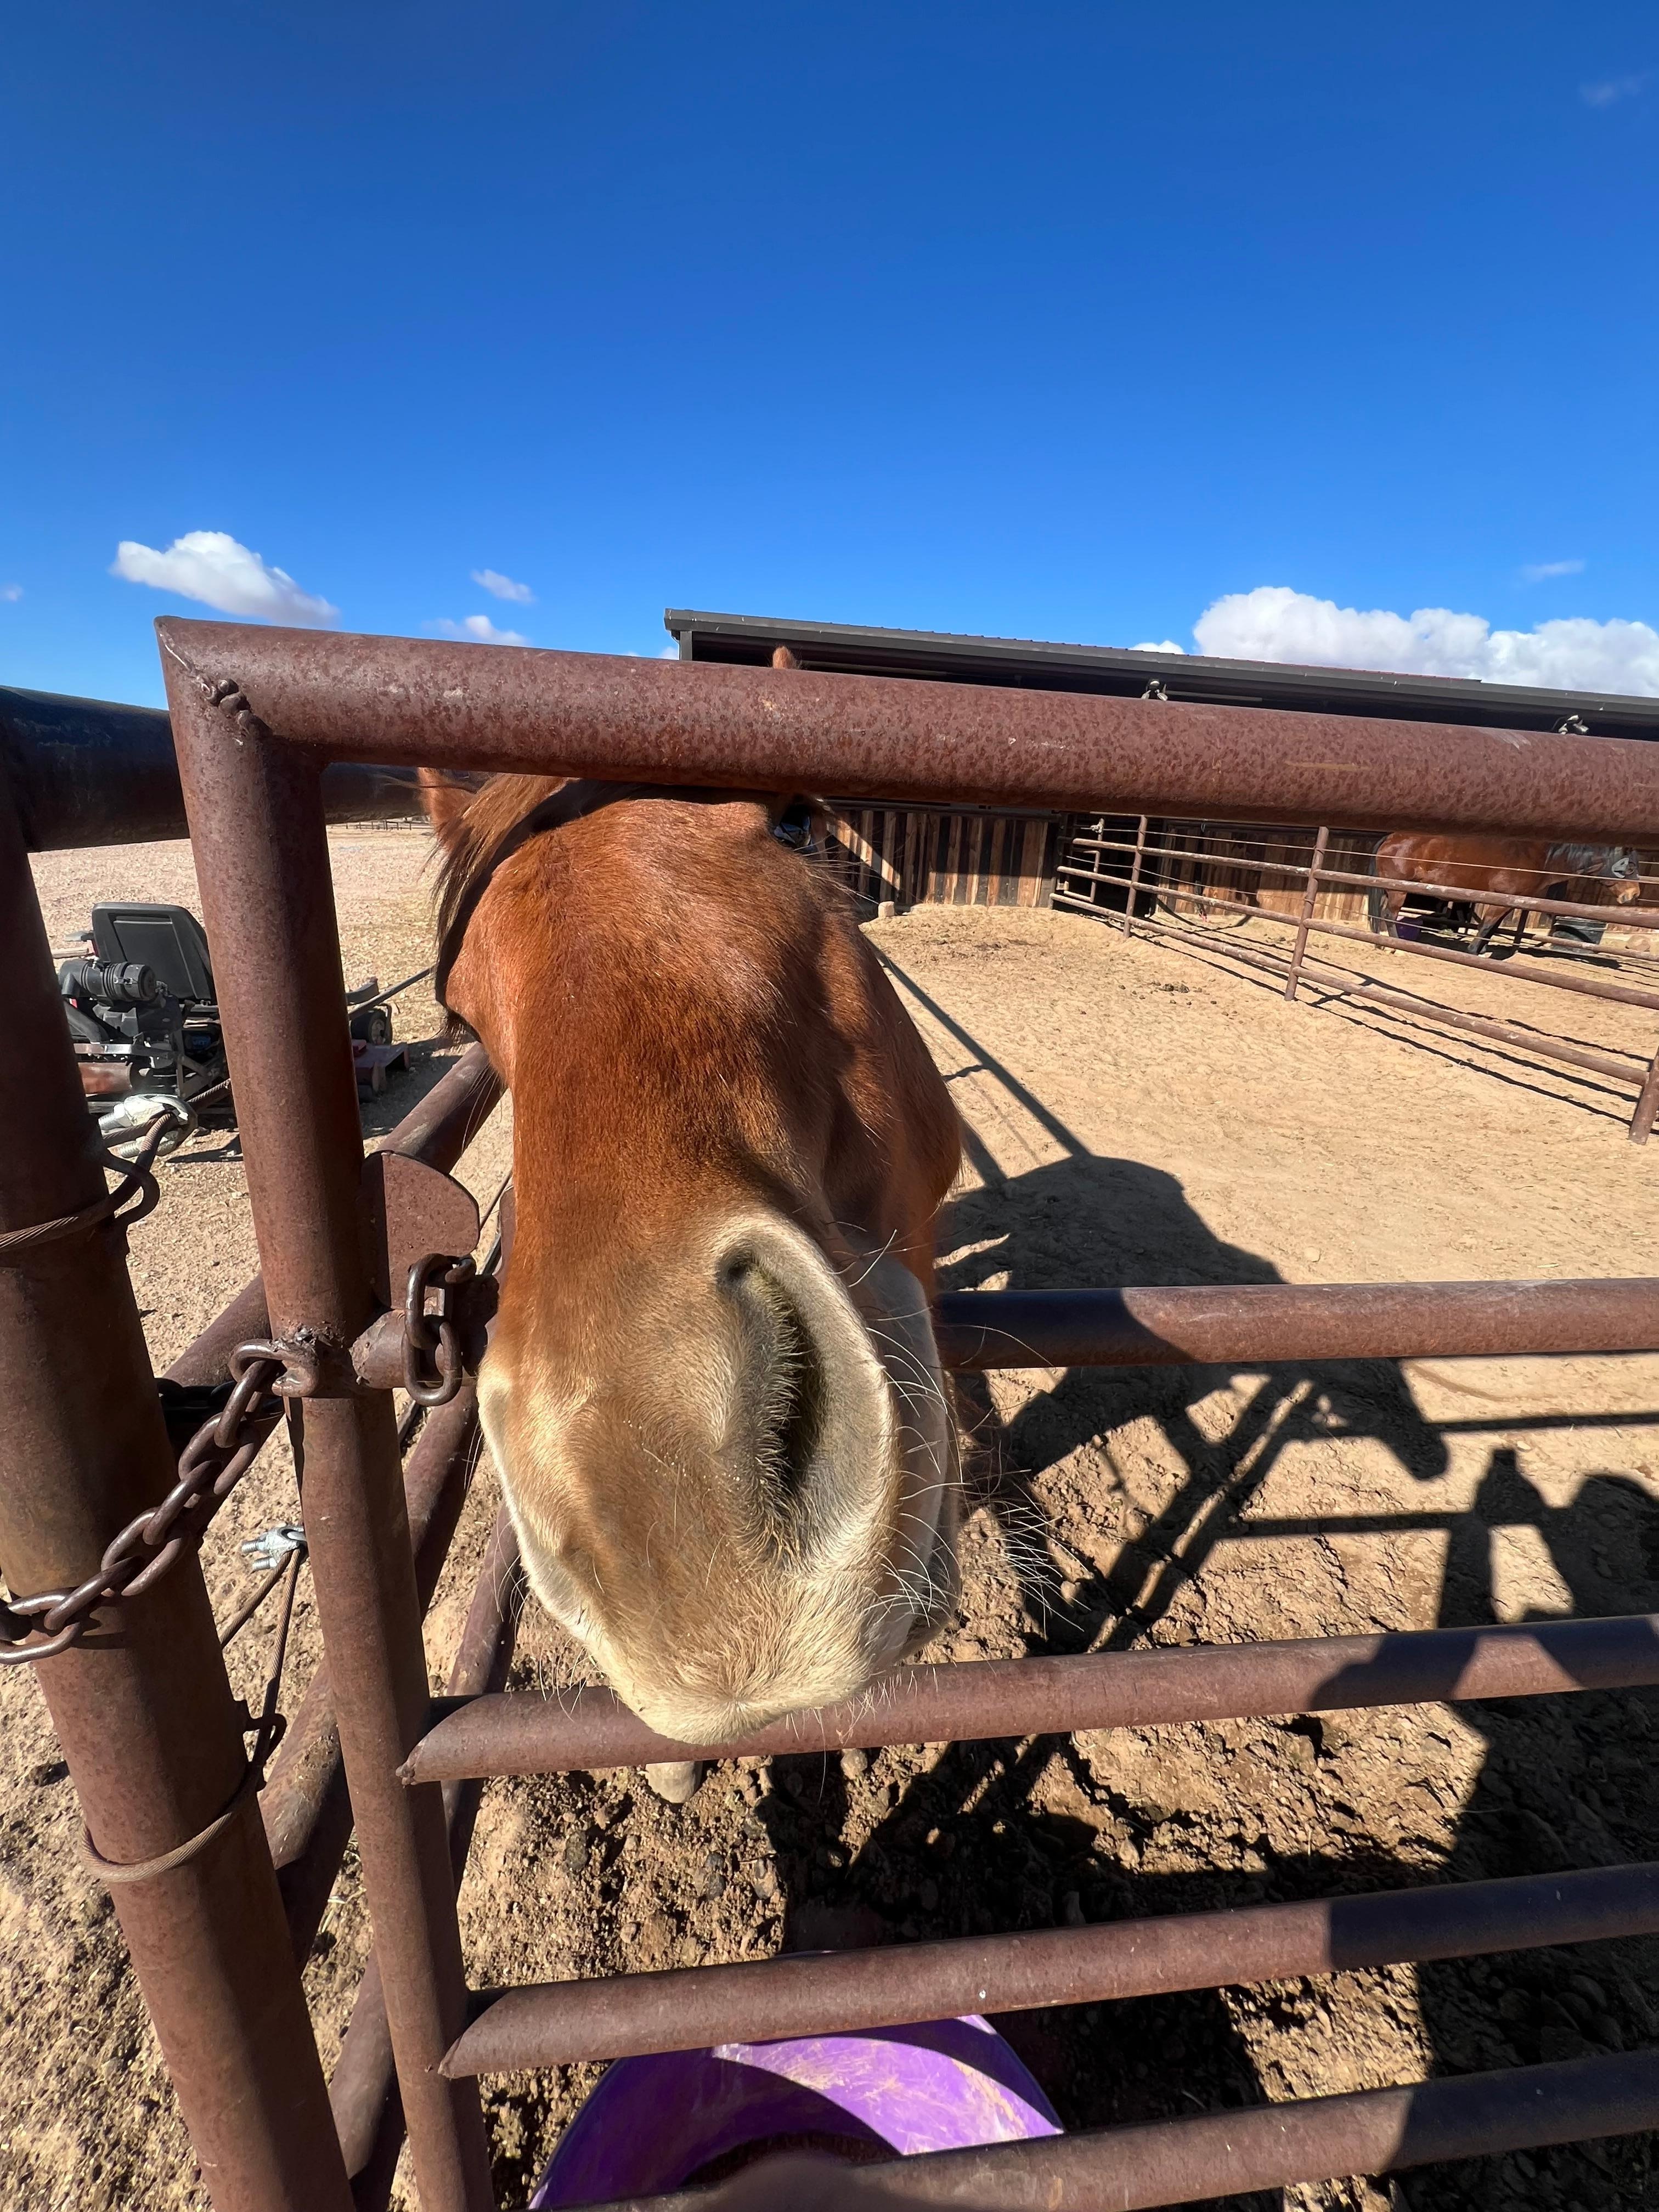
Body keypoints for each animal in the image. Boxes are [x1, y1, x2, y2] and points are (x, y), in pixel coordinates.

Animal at [1371, 833, 1640, 957]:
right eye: (1629, 868)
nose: (1634, 894)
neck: (1540, 858)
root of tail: (1392, 838)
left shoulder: (1508, 903)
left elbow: (1493, 928)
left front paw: (1482, 951)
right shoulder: (1500, 900)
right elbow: (1487, 926)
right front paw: (1473, 952)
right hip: (1398, 889)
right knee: (1390, 915)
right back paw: (1396, 947)